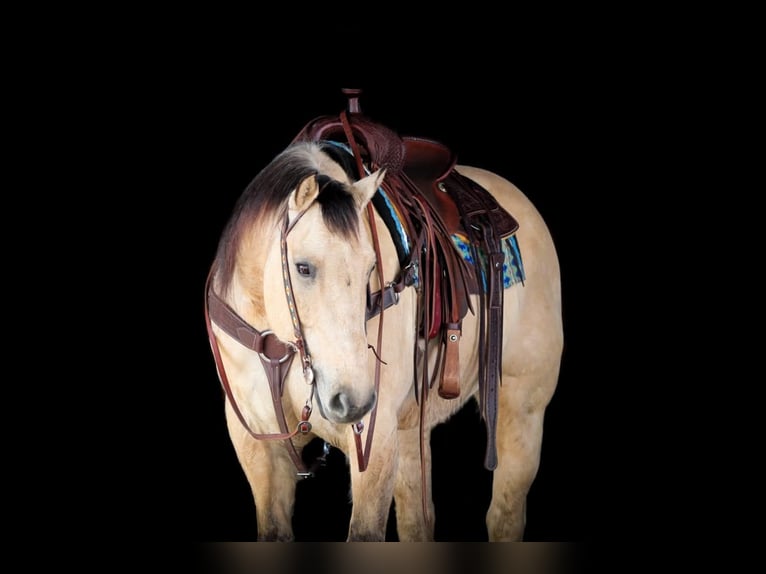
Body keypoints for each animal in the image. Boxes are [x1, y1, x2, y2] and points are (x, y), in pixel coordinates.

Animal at [204, 95, 563, 541]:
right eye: (303, 268)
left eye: (369, 268)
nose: (353, 400)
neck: (276, 343)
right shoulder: (258, 448)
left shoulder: (375, 448)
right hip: (411, 432)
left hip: (521, 407)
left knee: (505, 513)